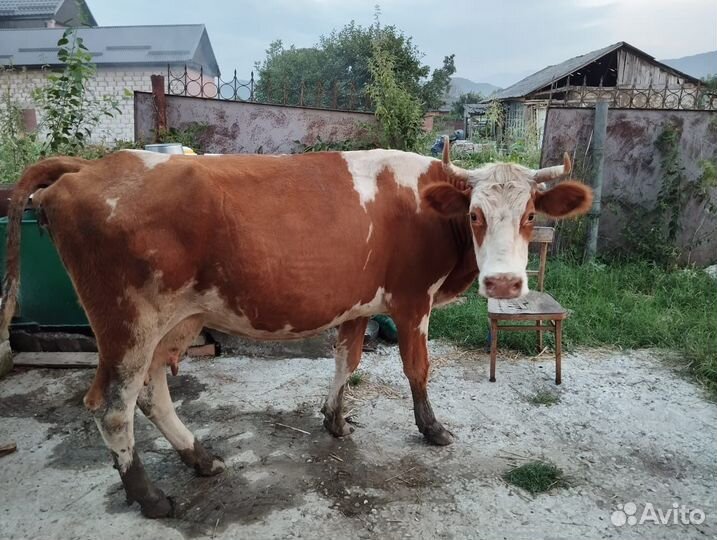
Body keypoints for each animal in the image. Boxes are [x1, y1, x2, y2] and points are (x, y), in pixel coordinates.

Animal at [0, 140, 592, 518]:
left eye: (530, 214)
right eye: (474, 214)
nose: (504, 283)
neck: (426, 205)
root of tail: (91, 167)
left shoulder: (358, 305)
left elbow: (347, 362)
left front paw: (333, 420)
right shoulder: (410, 301)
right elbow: (417, 370)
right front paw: (432, 429)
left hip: (172, 321)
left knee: (151, 394)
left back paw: (200, 458)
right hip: (127, 324)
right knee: (112, 407)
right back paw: (150, 498)